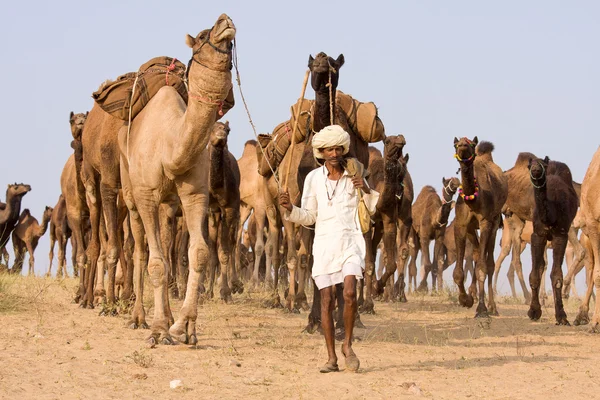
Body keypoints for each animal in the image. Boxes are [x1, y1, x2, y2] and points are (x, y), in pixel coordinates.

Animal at [117, 14, 237, 346]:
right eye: (203, 35)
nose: (225, 20)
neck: (170, 145)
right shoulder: (146, 194)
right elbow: (155, 263)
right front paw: (159, 329)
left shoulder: (195, 194)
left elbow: (199, 253)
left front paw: (184, 327)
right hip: (130, 192)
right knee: (140, 249)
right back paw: (139, 318)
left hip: (169, 206)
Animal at [360, 139, 408, 314]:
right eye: (387, 141)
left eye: (402, 174)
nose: (400, 140)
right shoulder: (366, 222)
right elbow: (368, 263)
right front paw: (367, 305)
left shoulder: (387, 221)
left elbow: (391, 264)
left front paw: (377, 289)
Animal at [452, 138, 508, 318]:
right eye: (456, 144)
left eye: (470, 144)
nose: (462, 146)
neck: (474, 200)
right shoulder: (461, 225)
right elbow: (458, 272)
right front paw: (465, 300)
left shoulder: (486, 223)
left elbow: (483, 267)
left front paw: (481, 308)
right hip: (471, 229)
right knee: (477, 254)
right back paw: (473, 294)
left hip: (495, 224)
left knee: (489, 263)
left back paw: (492, 307)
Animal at [528, 156, 580, 324]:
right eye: (529, 165)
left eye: (542, 165)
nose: (535, 169)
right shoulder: (537, 235)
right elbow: (534, 273)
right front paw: (534, 311)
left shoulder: (561, 235)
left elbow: (557, 275)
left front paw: (562, 316)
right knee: (540, 266)